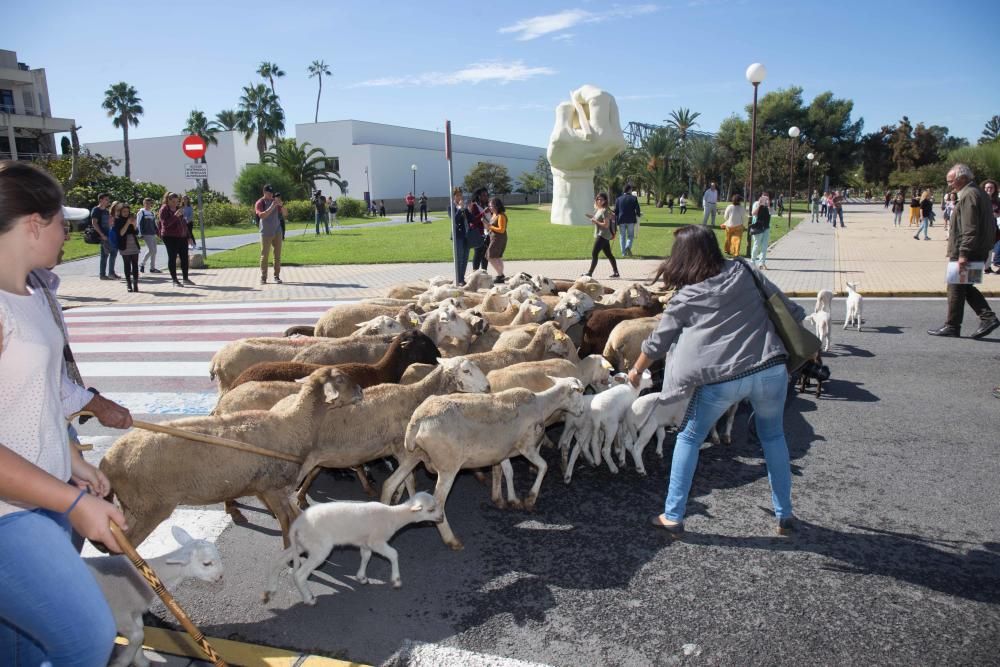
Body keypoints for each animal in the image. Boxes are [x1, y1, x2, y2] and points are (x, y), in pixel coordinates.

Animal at [86, 528, 223, 667]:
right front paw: (122, 661)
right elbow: (137, 635)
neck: (142, 577)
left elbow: (140, 633)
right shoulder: (119, 613)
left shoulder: (135, 611)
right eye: (206, 563)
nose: (220, 576)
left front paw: (140, 660)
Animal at [264, 490, 444, 604]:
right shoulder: (376, 541)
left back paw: (270, 590)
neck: (394, 516)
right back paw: (309, 599)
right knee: (300, 574)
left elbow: (366, 557)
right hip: (319, 548)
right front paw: (396, 580)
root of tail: (296, 525)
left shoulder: (365, 542)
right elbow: (394, 554)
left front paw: (361, 577)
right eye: (431, 509)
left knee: (277, 559)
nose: (441, 518)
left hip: (302, 544)